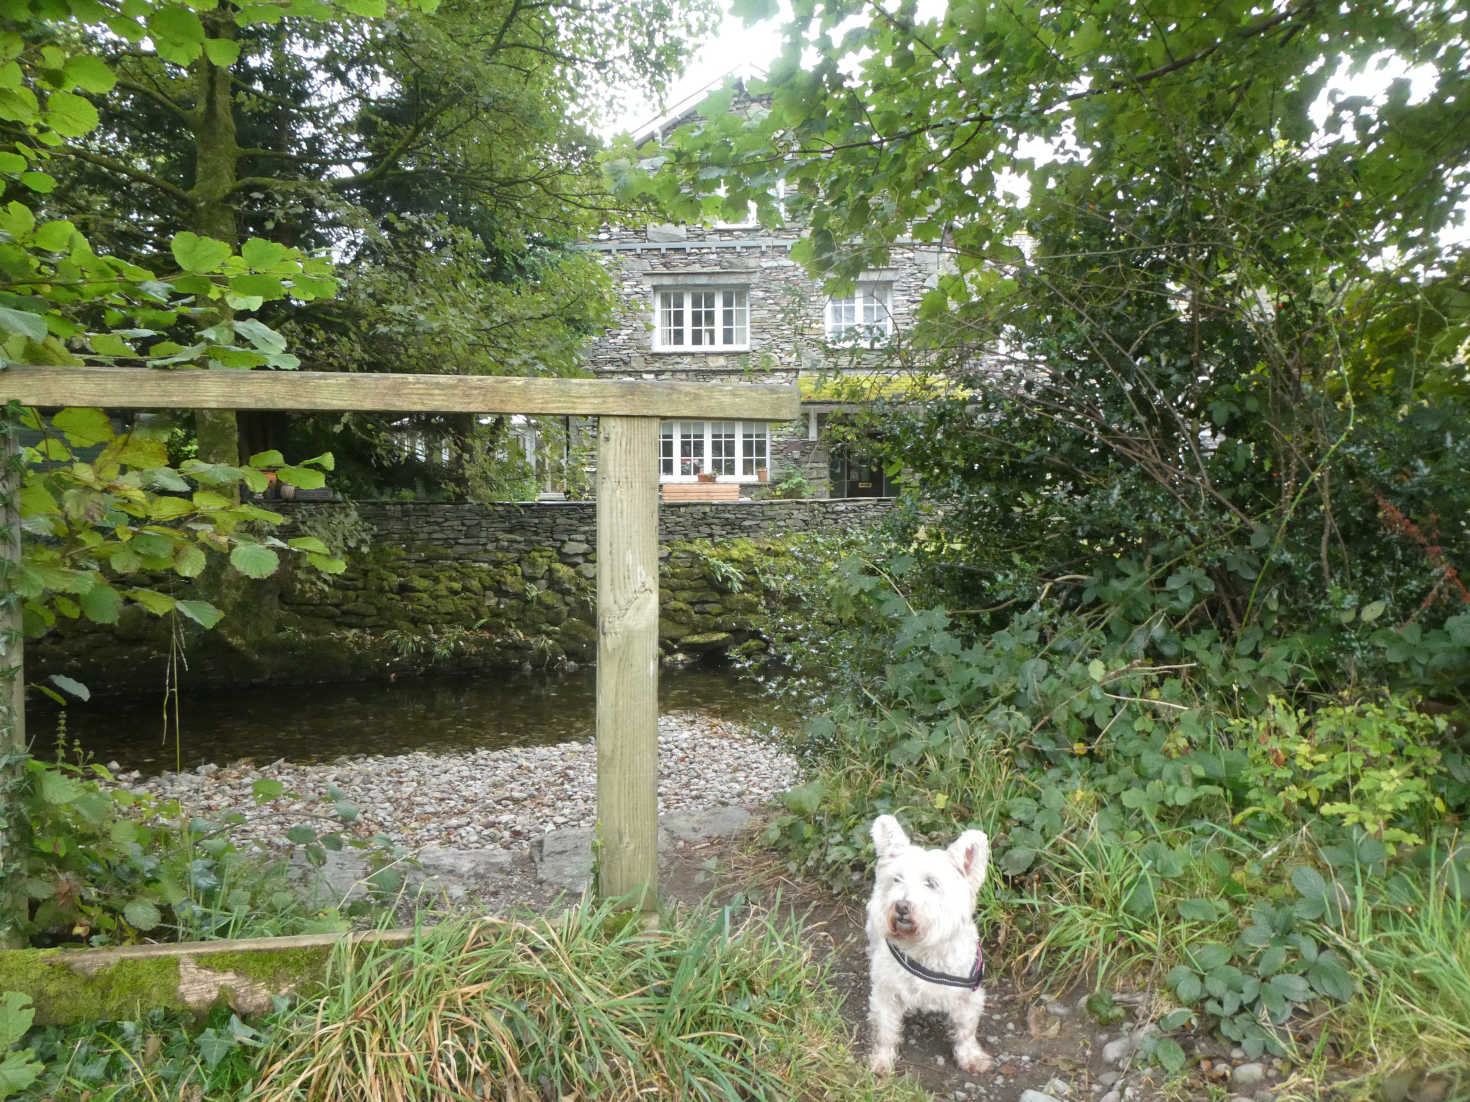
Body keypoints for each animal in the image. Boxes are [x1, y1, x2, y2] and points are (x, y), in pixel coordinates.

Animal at [864, 811, 993, 1081]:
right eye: (897, 879)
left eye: (931, 883)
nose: (901, 906)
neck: (925, 949)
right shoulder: (886, 993)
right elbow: (886, 1030)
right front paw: (881, 1061)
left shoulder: (969, 996)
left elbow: (966, 1030)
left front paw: (971, 1058)